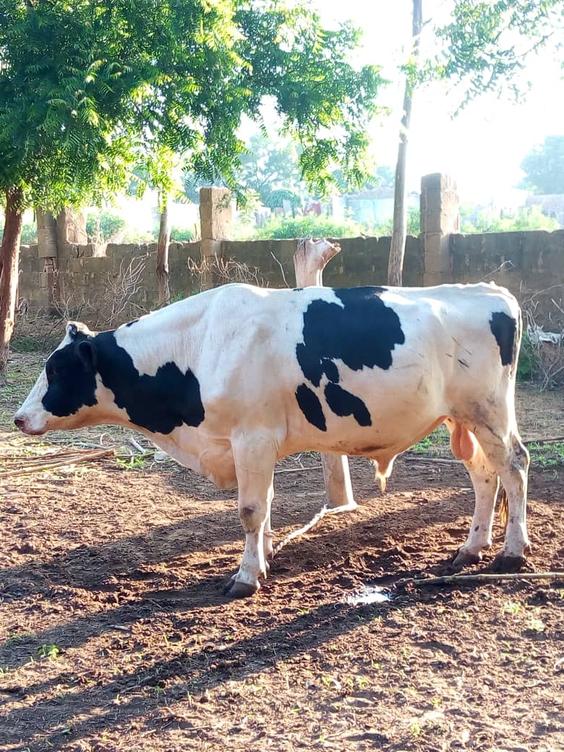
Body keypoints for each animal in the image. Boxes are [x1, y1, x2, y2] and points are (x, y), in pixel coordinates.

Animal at [14, 279, 530, 597]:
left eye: (56, 370)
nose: (19, 418)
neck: (200, 346)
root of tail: (488, 290)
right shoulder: (254, 445)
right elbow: (264, 506)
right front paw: (262, 558)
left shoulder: (253, 437)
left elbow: (249, 509)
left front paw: (245, 576)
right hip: (463, 419)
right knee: (484, 476)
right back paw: (471, 547)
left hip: (488, 411)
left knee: (514, 465)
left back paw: (512, 552)